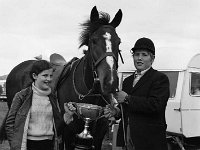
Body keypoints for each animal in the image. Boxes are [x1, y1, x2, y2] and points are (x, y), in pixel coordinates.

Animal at [0, 5, 122, 149]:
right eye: (93, 41)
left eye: (118, 42)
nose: (110, 82)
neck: (92, 95)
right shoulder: (68, 134)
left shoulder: (98, 136)